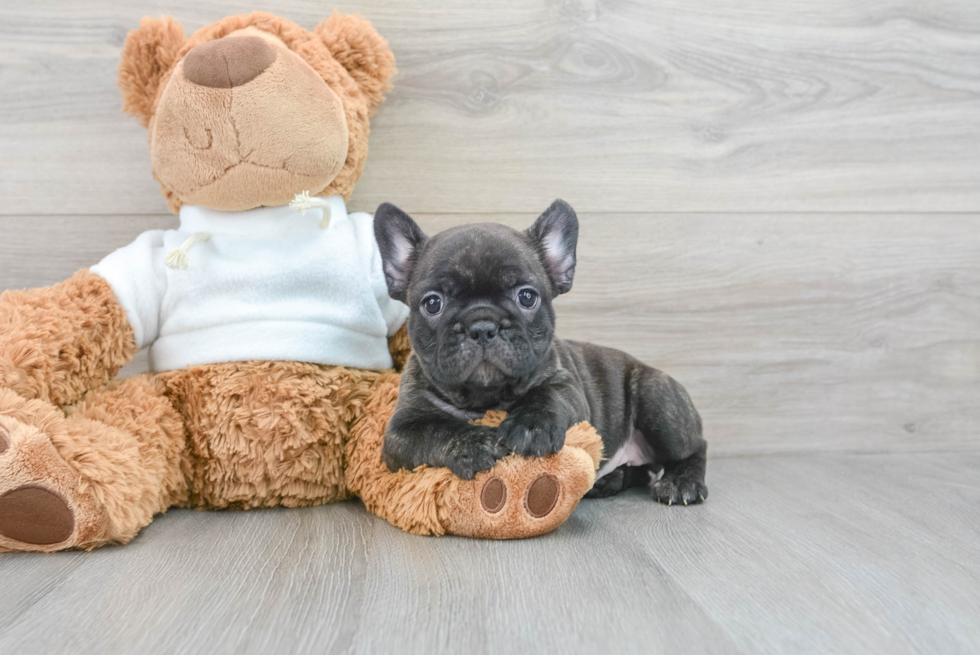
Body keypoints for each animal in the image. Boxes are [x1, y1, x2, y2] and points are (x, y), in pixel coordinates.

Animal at [374, 202, 704, 504]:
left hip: (657, 400)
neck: (485, 397)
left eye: (526, 297)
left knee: (695, 448)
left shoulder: (568, 387)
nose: (482, 325)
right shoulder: (400, 433)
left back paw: (682, 483)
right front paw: (473, 444)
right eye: (432, 303)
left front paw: (531, 425)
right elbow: (436, 431)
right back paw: (610, 480)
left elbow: (548, 396)